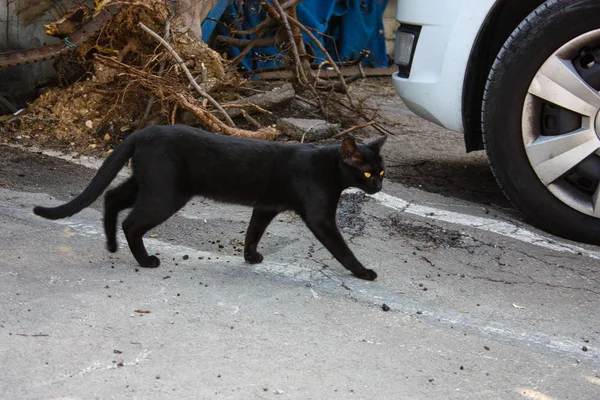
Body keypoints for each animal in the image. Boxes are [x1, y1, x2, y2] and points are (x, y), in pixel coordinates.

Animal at [32, 124, 386, 278]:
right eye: (367, 173)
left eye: (382, 172)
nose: (379, 185)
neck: (329, 168)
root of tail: (147, 130)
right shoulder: (320, 217)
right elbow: (342, 249)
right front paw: (363, 271)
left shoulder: (265, 207)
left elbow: (253, 232)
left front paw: (251, 257)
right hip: (165, 194)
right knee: (131, 222)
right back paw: (145, 261)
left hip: (149, 185)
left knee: (112, 197)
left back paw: (111, 245)